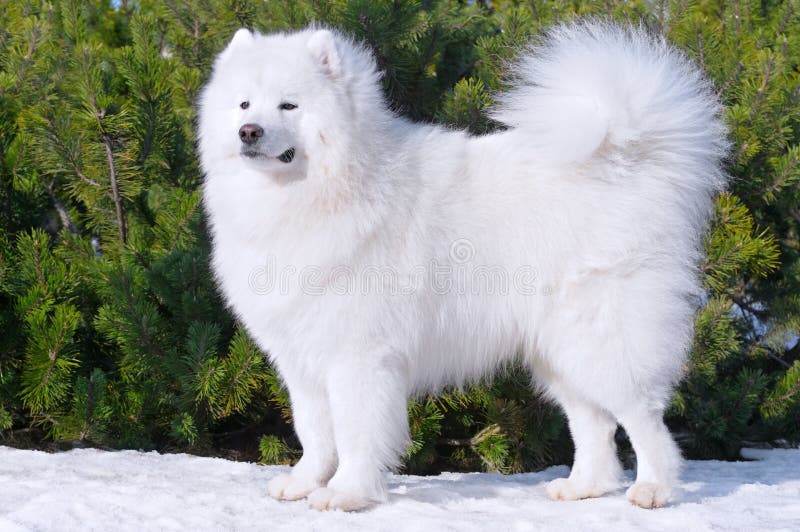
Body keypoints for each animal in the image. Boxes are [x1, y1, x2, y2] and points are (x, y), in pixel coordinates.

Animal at [197, 21, 728, 512]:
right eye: (244, 105)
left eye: (289, 106)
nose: (249, 132)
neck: (323, 189)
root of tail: (624, 163)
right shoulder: (303, 358)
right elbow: (314, 432)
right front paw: (304, 482)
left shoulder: (358, 356)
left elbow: (353, 433)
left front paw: (347, 494)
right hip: (556, 352)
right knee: (593, 422)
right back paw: (583, 487)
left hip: (599, 339)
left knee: (643, 417)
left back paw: (653, 489)